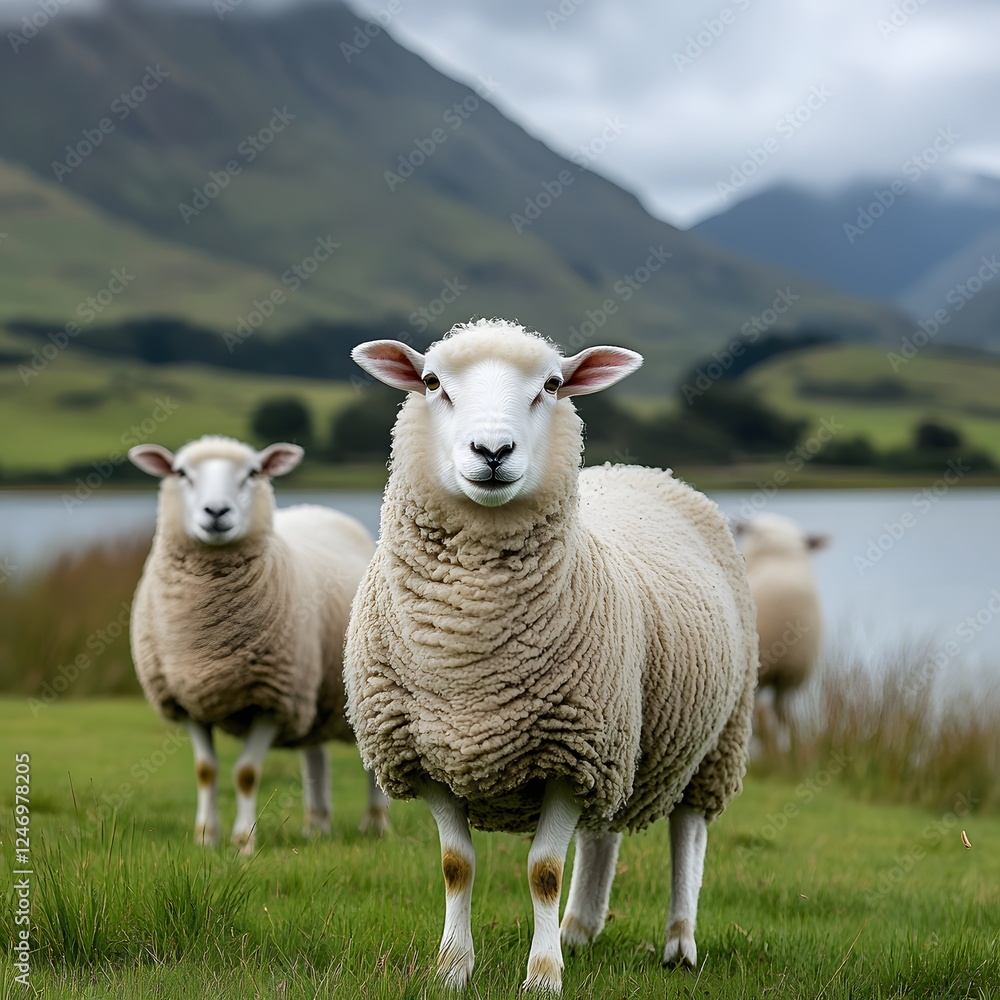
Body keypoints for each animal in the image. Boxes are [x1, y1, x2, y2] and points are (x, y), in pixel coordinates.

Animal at [128, 435, 388, 853]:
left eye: (253, 473)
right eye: (181, 473)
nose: (216, 511)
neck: (208, 640)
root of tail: (321, 510)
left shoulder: (270, 698)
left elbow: (247, 773)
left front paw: (243, 843)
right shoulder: (186, 699)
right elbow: (206, 771)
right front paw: (206, 838)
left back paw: (375, 824)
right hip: (311, 692)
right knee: (315, 757)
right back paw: (316, 826)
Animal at [344, 319, 759, 993]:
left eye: (553, 385)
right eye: (431, 382)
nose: (492, 450)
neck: (470, 653)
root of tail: (643, 469)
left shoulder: (568, 754)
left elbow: (543, 870)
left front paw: (542, 978)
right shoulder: (425, 755)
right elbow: (456, 865)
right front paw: (452, 971)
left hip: (713, 740)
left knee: (688, 835)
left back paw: (679, 944)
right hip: (621, 746)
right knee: (603, 834)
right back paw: (579, 929)